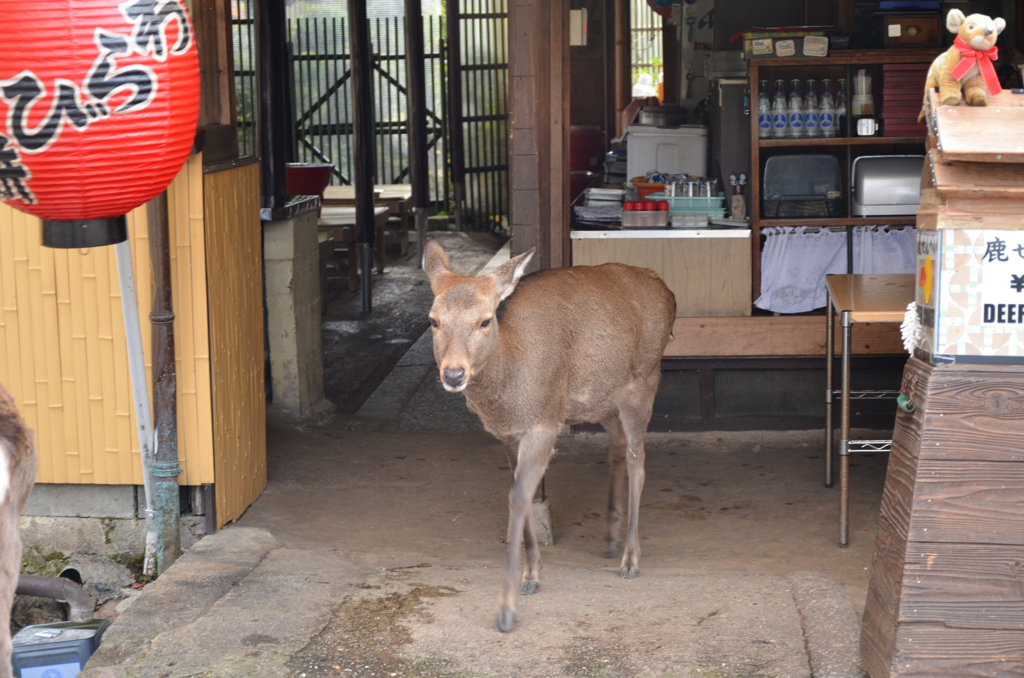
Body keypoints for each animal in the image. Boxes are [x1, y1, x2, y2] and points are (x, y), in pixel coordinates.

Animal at [419, 241, 675, 634]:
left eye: (485, 320)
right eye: (433, 320)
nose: (454, 374)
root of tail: (668, 291)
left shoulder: (543, 423)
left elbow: (519, 498)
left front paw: (507, 608)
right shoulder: (509, 435)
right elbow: (519, 495)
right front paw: (532, 574)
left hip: (645, 380)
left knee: (639, 461)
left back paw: (630, 558)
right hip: (603, 399)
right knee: (617, 448)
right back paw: (610, 538)